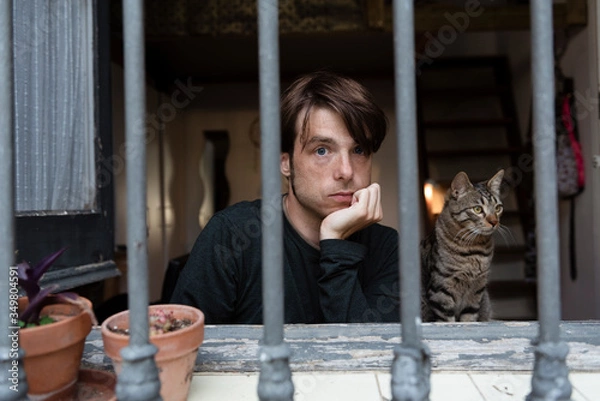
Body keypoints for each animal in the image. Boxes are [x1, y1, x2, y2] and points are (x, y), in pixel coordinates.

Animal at [420, 169, 504, 322]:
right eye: (477, 209)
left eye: (498, 208)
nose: (494, 222)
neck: (474, 249)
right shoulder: (442, 289)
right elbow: (447, 320)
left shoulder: (476, 290)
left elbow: (469, 318)